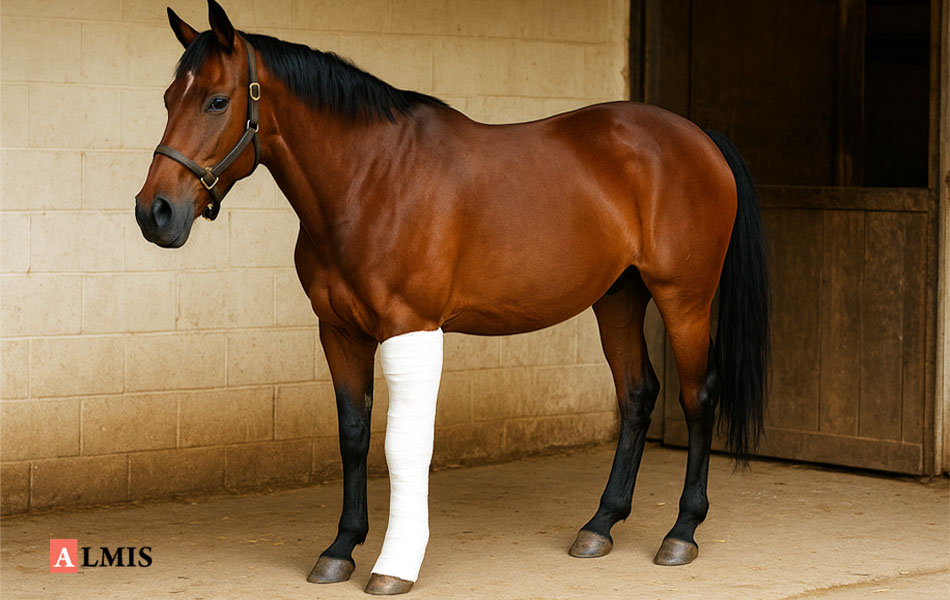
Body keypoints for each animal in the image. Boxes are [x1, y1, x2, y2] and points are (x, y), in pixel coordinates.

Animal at [135, 1, 770, 595]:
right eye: (168, 98)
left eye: (217, 101)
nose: (154, 212)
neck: (370, 179)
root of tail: (699, 138)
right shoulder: (338, 330)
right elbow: (353, 434)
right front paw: (340, 548)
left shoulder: (409, 325)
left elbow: (402, 446)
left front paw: (393, 566)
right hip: (617, 297)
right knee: (637, 394)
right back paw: (600, 525)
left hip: (685, 298)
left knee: (697, 396)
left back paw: (681, 533)